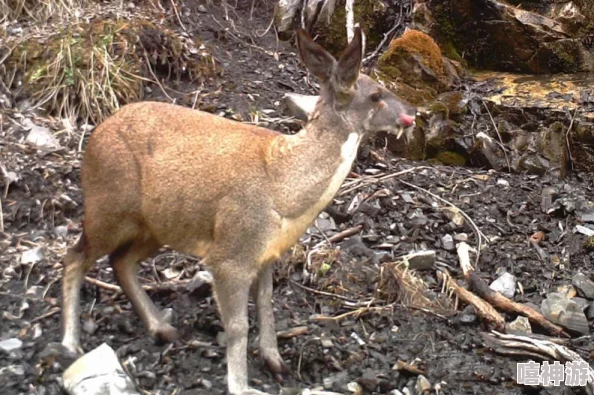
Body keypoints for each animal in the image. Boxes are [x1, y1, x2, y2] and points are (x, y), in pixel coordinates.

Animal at [59, 25, 412, 395]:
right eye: (376, 94)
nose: (413, 113)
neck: (283, 189)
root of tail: (94, 136)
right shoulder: (231, 251)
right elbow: (238, 324)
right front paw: (242, 385)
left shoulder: (268, 253)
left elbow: (267, 305)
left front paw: (275, 361)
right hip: (108, 205)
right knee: (75, 256)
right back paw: (70, 343)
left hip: (157, 225)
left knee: (120, 261)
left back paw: (162, 329)